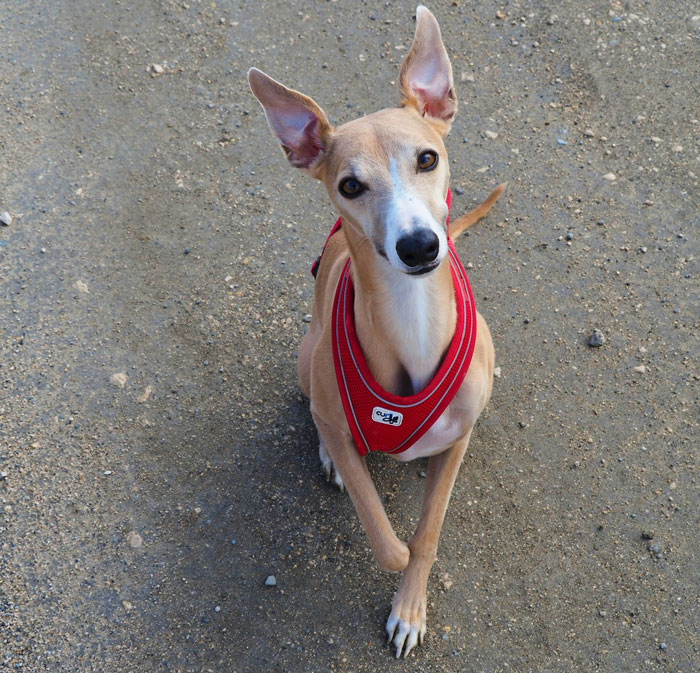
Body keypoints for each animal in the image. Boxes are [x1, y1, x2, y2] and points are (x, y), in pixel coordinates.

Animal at [249, 5, 506, 656]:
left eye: (427, 158)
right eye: (350, 186)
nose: (419, 246)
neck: (411, 318)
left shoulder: (460, 438)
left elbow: (427, 535)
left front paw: (410, 609)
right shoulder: (341, 415)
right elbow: (390, 540)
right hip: (306, 357)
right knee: (320, 418)